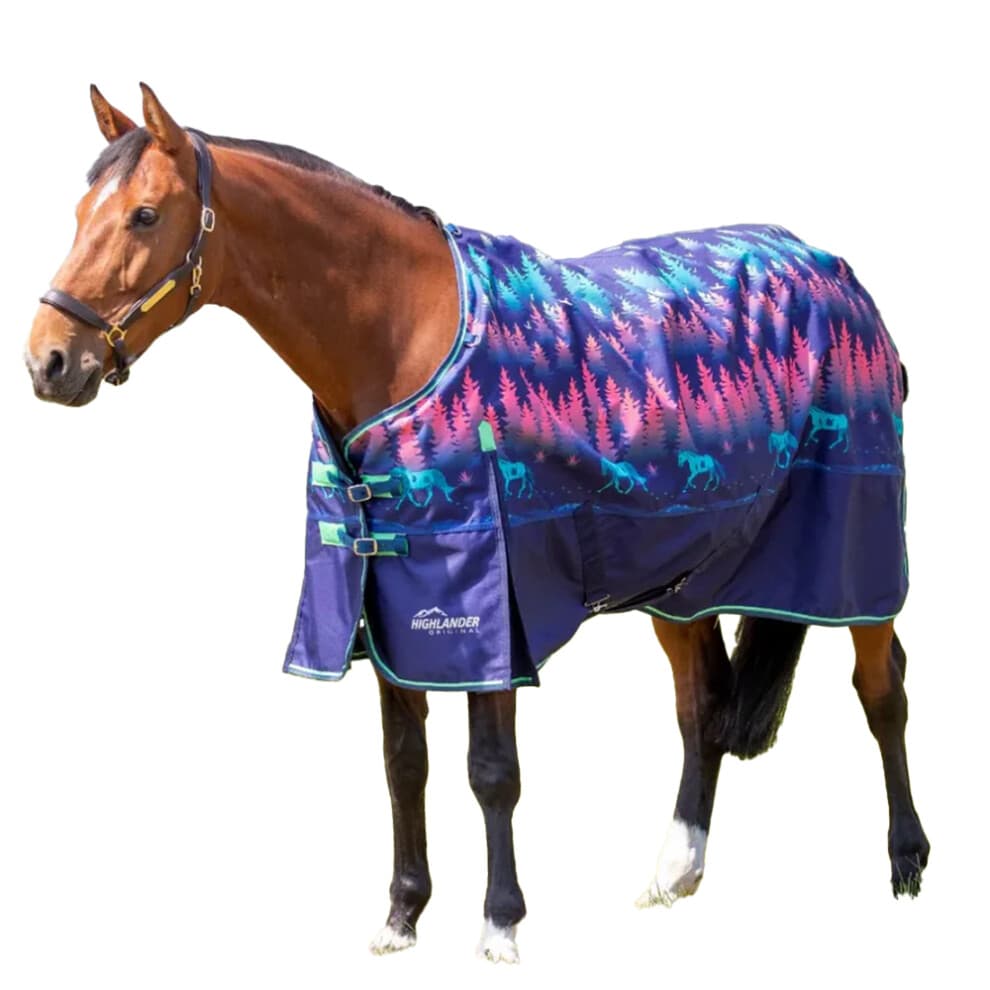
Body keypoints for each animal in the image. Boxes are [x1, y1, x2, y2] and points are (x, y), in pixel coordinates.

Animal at [25, 85, 929, 963]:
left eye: (145, 215)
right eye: (78, 212)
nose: (48, 361)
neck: (401, 338)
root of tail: (840, 275)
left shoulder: (493, 609)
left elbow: (491, 771)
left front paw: (500, 924)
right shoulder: (388, 605)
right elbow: (404, 763)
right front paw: (401, 915)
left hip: (860, 560)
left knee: (881, 689)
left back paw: (906, 861)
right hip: (685, 578)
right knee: (701, 706)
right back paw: (677, 868)